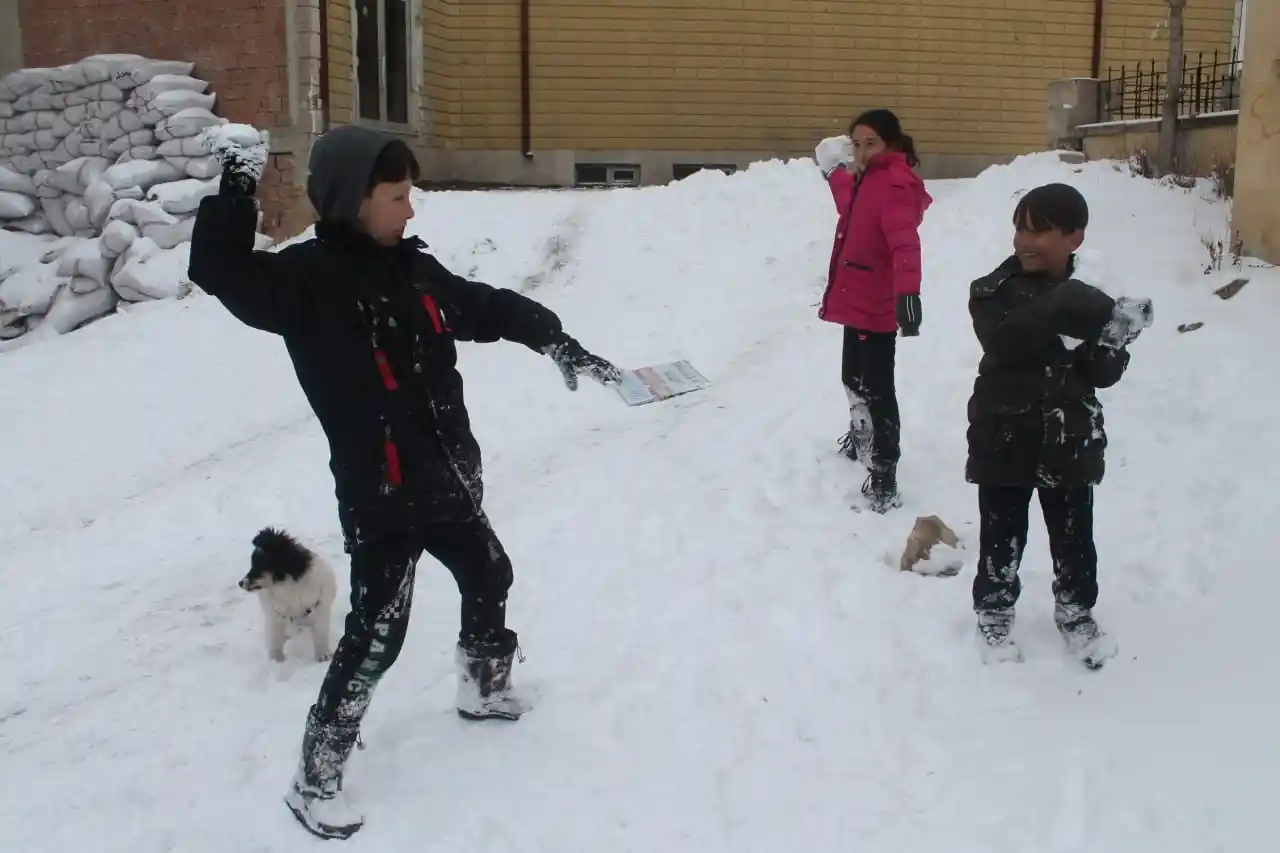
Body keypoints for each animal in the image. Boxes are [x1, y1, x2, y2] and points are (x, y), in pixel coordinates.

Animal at [240, 527, 337, 660]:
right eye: (252, 564)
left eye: (260, 565)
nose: (240, 583)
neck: (286, 586)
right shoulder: (275, 614)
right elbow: (275, 640)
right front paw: (276, 660)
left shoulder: (320, 609)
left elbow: (320, 633)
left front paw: (323, 655)